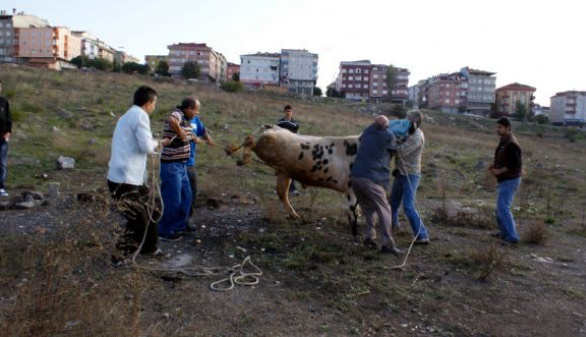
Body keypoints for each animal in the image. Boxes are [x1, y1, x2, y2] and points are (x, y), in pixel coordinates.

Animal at [227, 125, 360, 239]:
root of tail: (271, 127)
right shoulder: (351, 189)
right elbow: (354, 212)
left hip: (284, 171)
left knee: (281, 193)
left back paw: (295, 216)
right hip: (273, 151)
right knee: (251, 141)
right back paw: (243, 159)